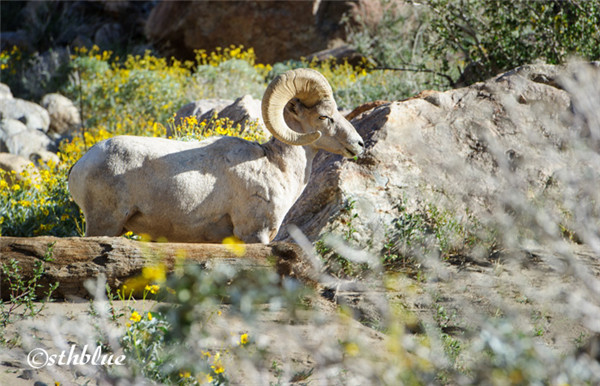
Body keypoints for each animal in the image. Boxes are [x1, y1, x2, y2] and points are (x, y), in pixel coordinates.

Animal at [68, 68, 364, 243]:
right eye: (324, 117)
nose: (359, 144)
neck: (275, 165)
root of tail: (80, 165)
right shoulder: (253, 234)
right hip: (104, 224)